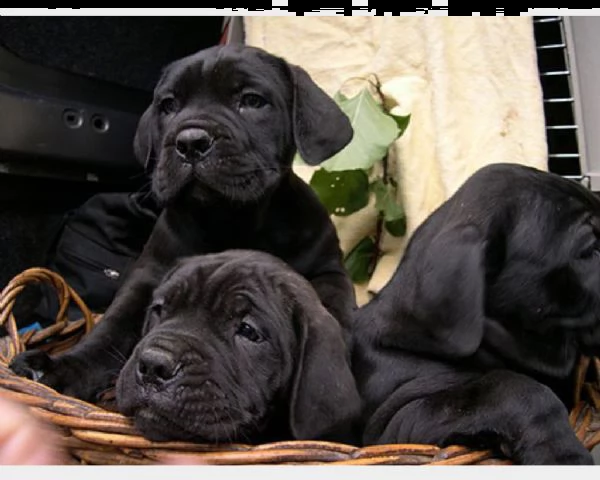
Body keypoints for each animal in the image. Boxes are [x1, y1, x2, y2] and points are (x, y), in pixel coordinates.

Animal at [11, 45, 356, 404]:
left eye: (252, 100)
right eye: (168, 105)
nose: (190, 141)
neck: (233, 219)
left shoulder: (328, 270)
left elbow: (334, 308)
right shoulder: (148, 277)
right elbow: (110, 329)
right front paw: (61, 368)